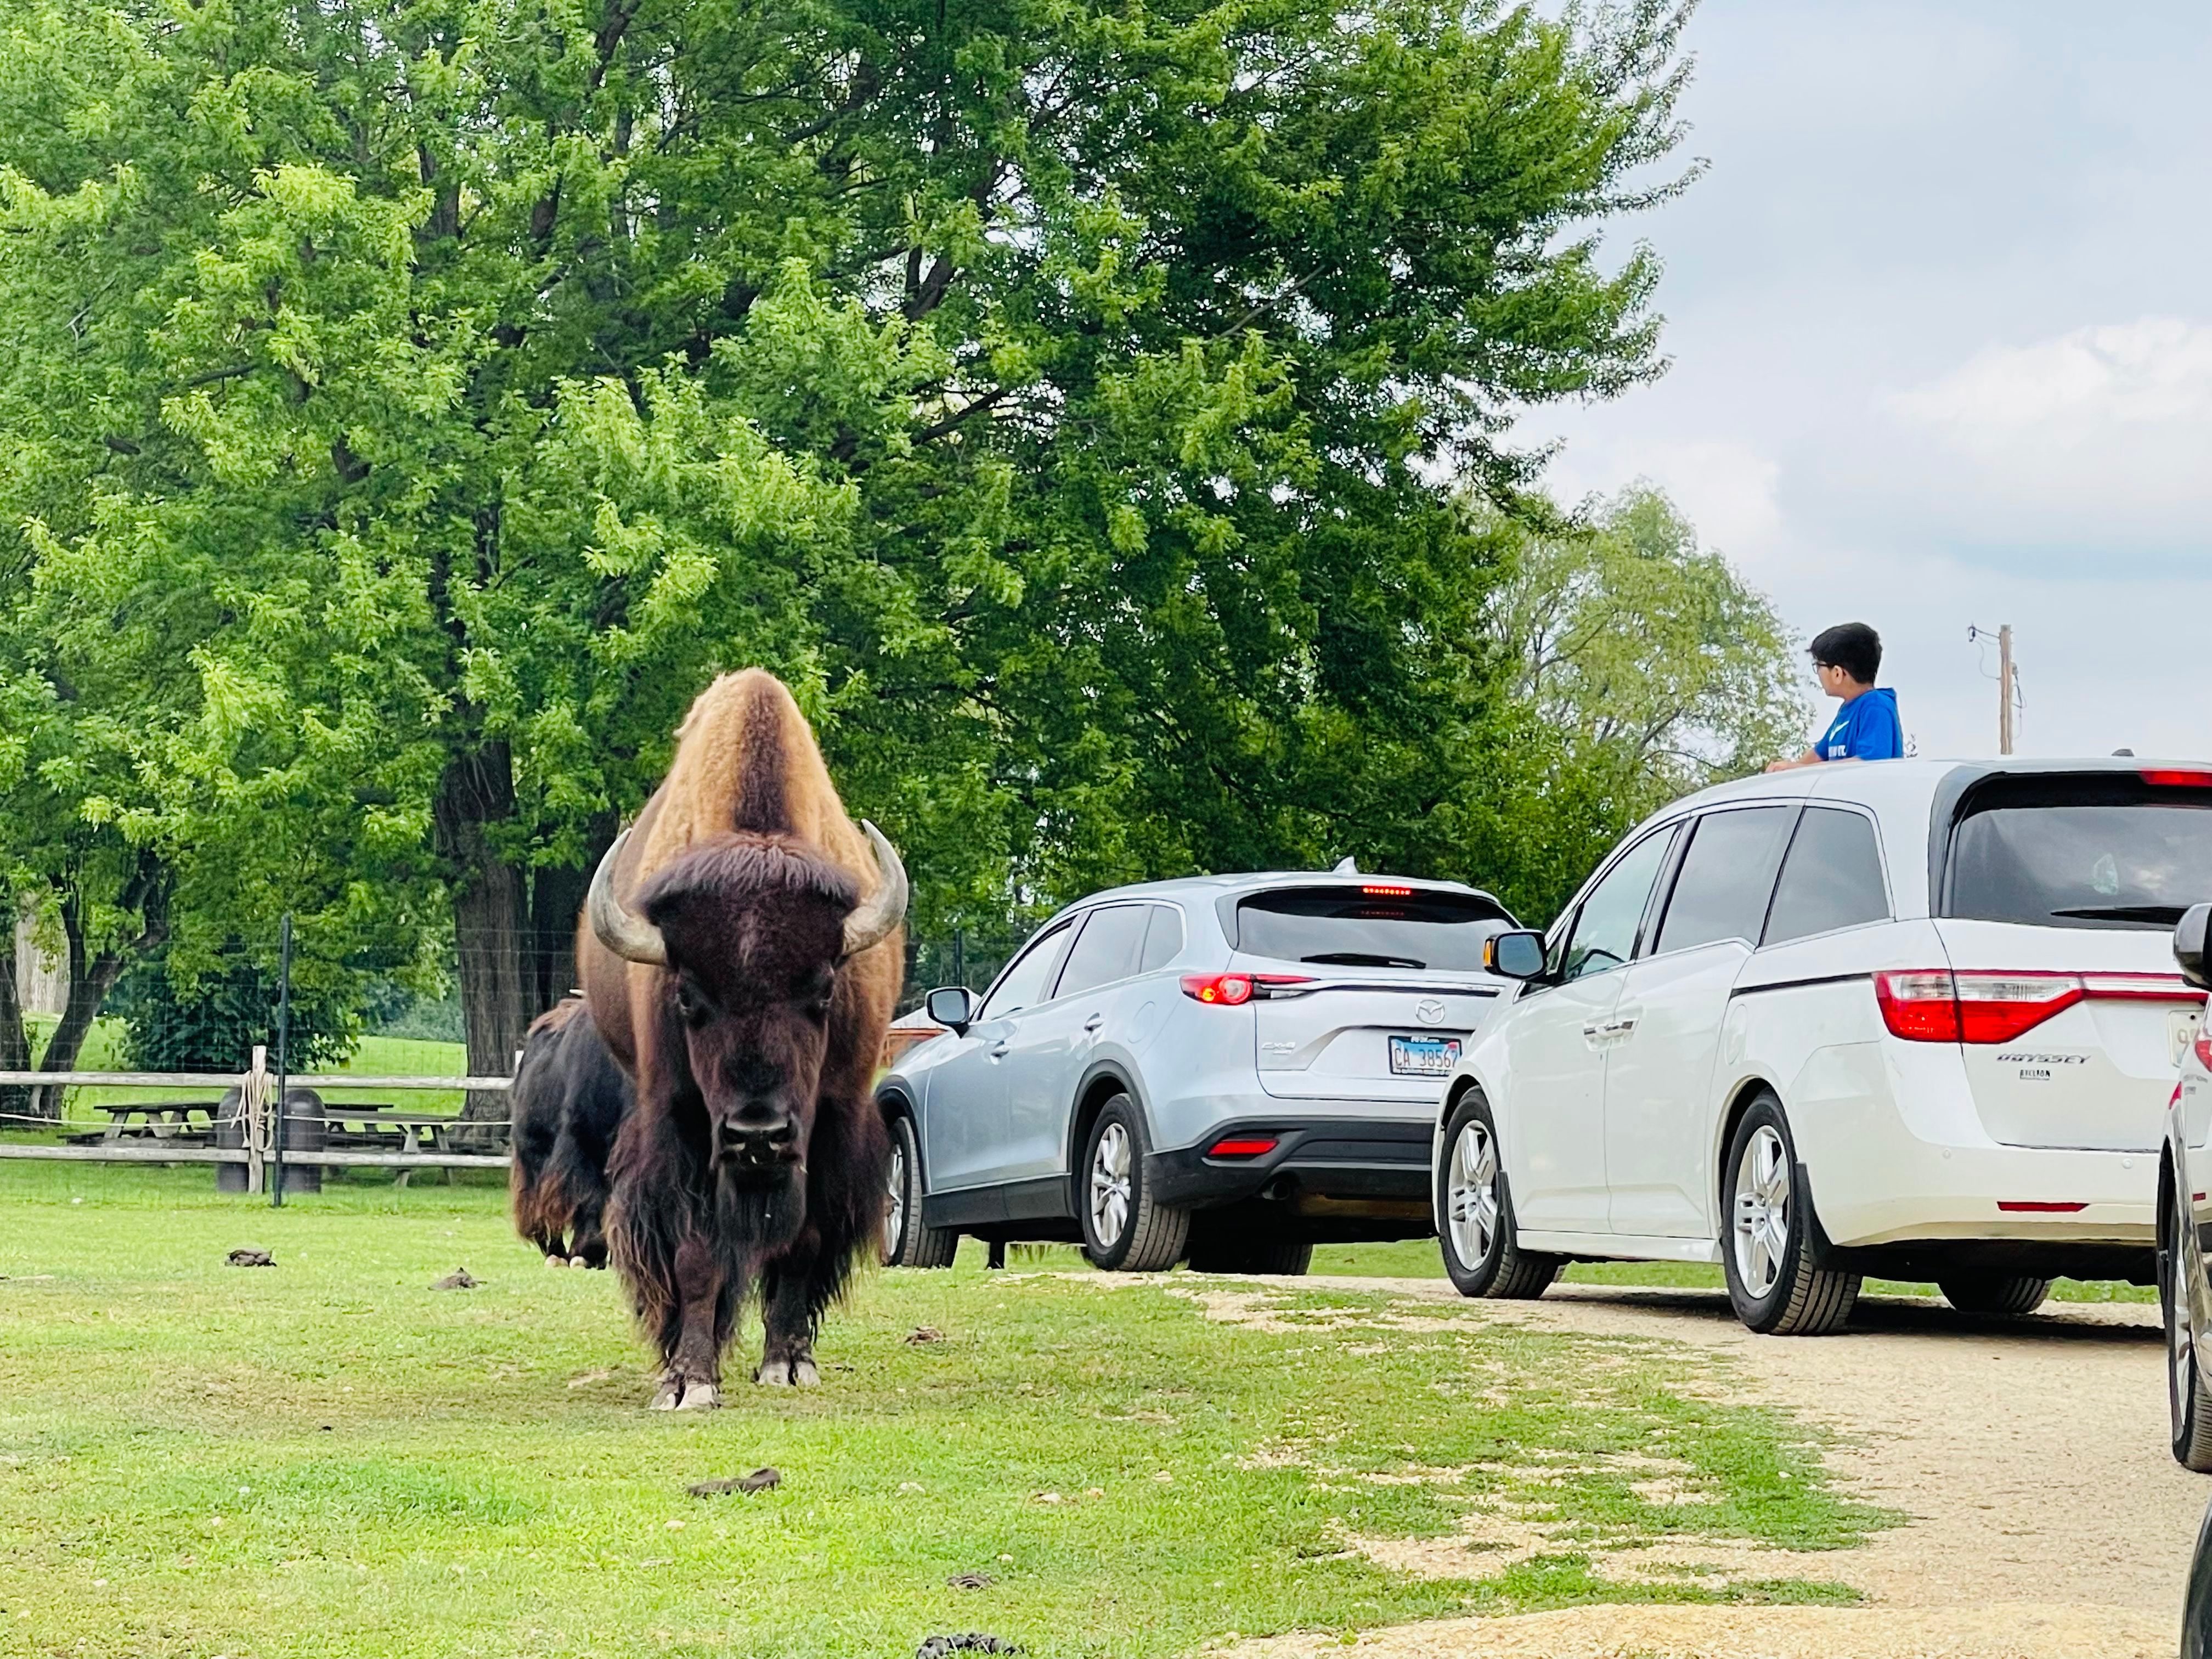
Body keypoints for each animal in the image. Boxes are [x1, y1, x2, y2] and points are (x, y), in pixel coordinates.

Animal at [580, 670, 906, 1409]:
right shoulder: (682, 1124)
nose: (758, 1134)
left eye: (823, 989)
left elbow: (804, 1238)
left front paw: (787, 1362)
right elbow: (697, 1255)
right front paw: (689, 1383)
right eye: (688, 996)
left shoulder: (830, 1121)